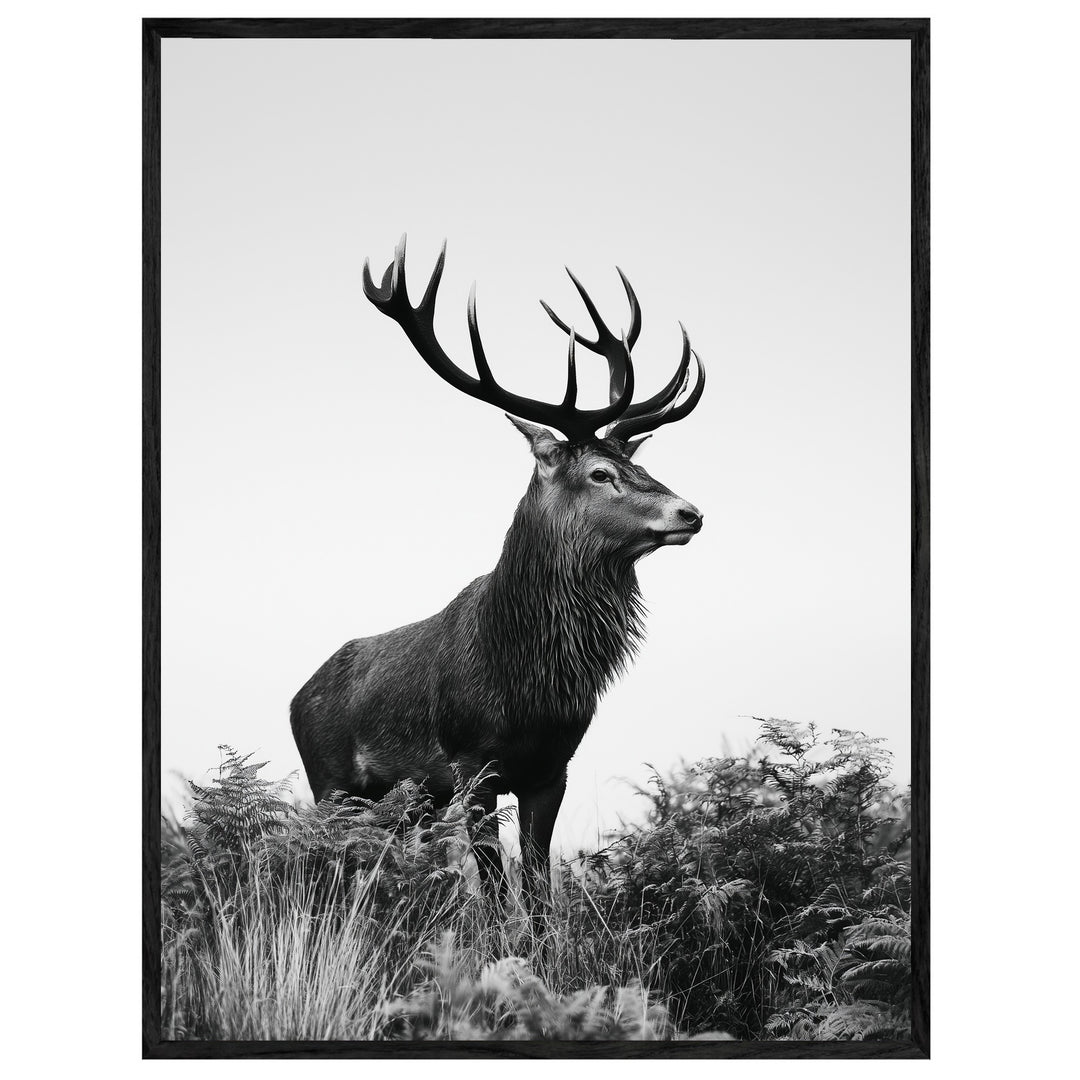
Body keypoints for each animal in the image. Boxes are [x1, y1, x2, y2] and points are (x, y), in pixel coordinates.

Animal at [290, 235, 706, 906]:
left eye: (637, 464)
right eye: (600, 473)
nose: (690, 512)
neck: (525, 682)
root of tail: (297, 696)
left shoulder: (552, 768)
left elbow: (535, 885)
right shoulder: (472, 764)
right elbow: (490, 885)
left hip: (407, 803)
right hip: (329, 782)